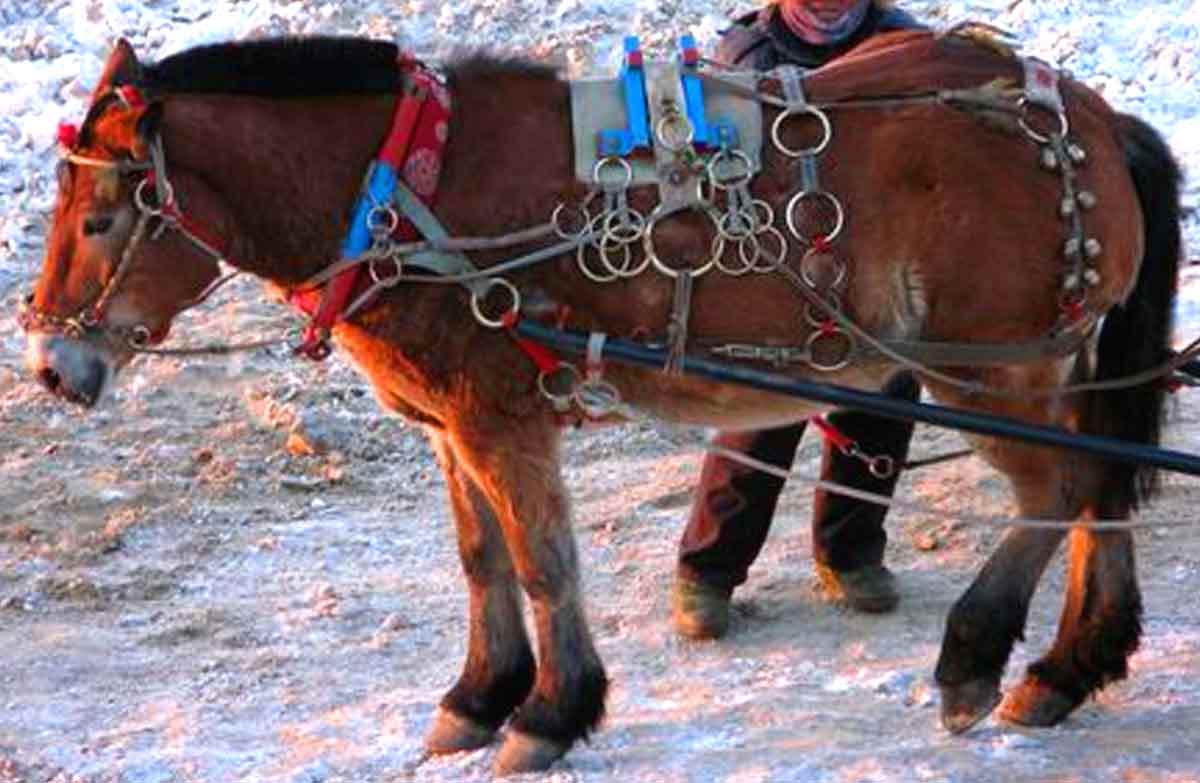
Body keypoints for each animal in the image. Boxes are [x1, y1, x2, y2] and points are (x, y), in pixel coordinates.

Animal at [21, 31, 1182, 774]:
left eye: (102, 215)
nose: (49, 365)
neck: (406, 187)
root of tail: (1091, 115)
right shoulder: (452, 426)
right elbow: (481, 559)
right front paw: (476, 697)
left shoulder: (500, 419)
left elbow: (542, 562)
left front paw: (547, 712)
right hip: (1045, 366)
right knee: (1103, 482)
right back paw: (1070, 667)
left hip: (986, 368)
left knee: (1063, 486)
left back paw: (978, 658)